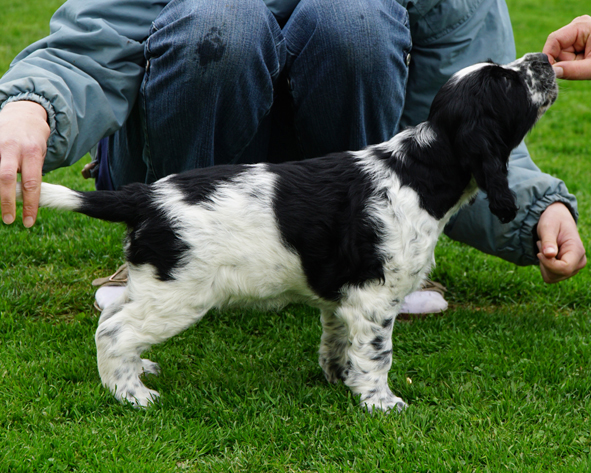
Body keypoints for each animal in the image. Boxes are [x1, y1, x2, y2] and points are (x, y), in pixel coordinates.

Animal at [22, 53, 560, 412]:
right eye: (508, 83)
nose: (545, 58)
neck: (419, 168)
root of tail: (145, 197)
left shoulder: (344, 295)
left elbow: (338, 339)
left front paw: (340, 378)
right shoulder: (375, 295)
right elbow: (378, 353)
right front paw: (381, 403)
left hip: (154, 283)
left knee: (116, 321)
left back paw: (139, 371)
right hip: (180, 294)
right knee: (113, 331)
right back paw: (132, 393)